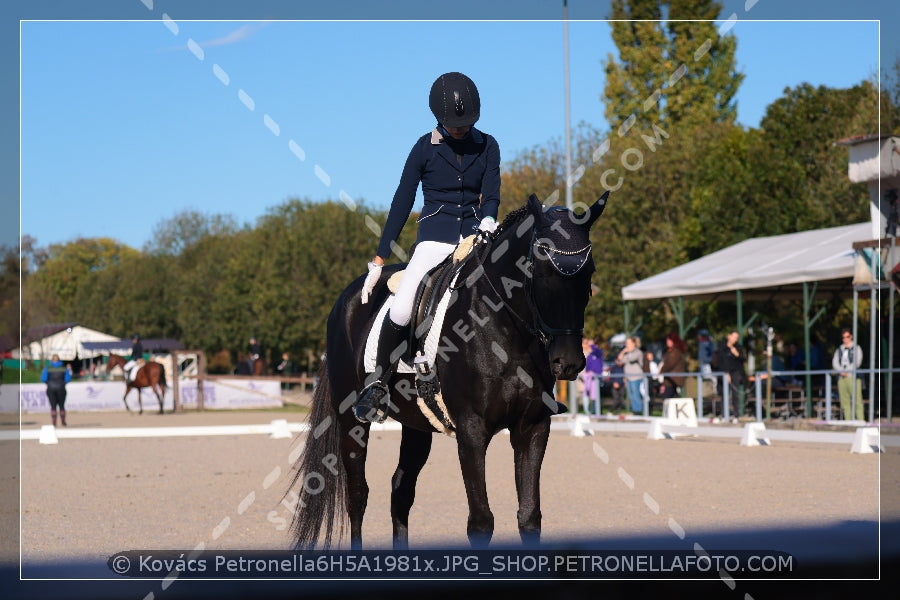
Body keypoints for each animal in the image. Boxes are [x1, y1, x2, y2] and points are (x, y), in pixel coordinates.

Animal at [292, 192, 608, 548]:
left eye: (590, 271)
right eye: (538, 268)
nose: (568, 361)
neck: (505, 329)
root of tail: (345, 300)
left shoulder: (533, 426)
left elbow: (529, 517)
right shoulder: (472, 430)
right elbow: (481, 522)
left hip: (416, 424)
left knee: (400, 491)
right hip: (351, 419)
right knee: (358, 494)